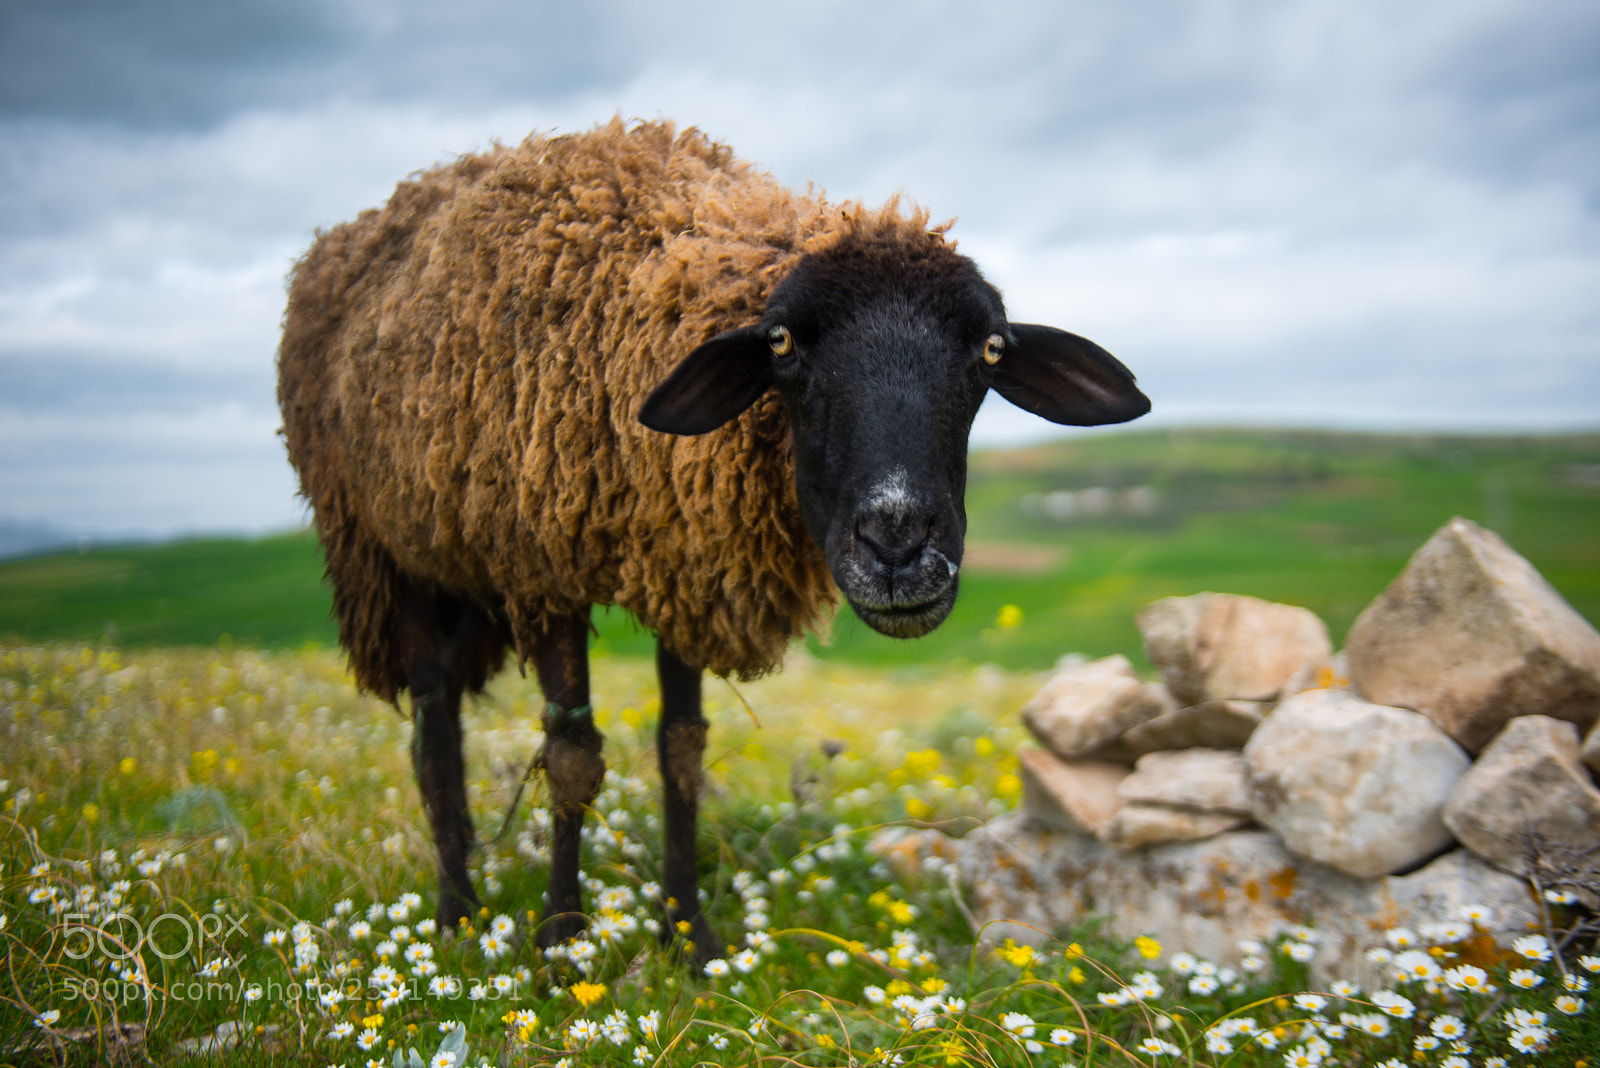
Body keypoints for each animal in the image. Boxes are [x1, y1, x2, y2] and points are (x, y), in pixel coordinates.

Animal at [277, 117, 1149, 953]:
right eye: (782, 343)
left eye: (992, 349)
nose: (899, 549)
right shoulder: (545, 573)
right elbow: (571, 758)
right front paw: (562, 943)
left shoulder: (691, 566)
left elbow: (683, 753)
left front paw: (688, 937)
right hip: (387, 554)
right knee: (433, 730)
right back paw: (457, 916)